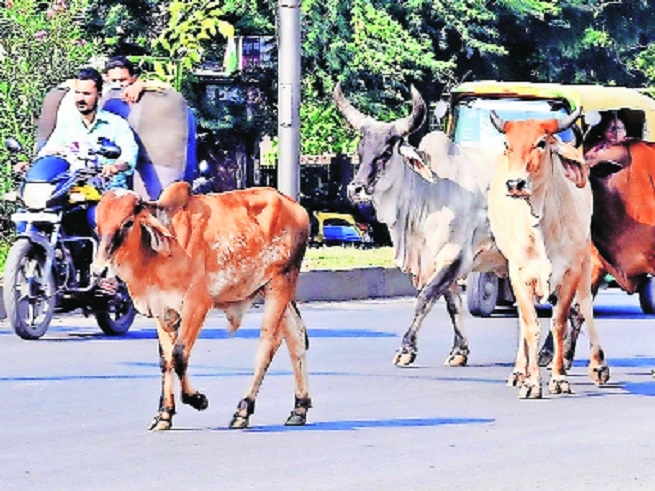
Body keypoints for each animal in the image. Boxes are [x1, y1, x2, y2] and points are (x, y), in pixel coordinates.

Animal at [92, 182, 312, 430]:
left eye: (128, 222)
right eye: (97, 225)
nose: (99, 270)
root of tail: (294, 206)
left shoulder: (196, 304)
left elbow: (179, 355)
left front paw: (197, 399)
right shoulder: (162, 311)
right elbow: (166, 359)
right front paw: (164, 414)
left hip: (280, 284)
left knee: (268, 344)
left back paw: (243, 410)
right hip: (270, 288)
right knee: (296, 336)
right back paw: (299, 408)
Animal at [334, 83, 508, 367]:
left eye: (386, 153)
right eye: (360, 153)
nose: (356, 189)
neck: (430, 192)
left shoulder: (455, 256)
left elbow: (425, 297)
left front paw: (406, 349)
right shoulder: (436, 260)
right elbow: (452, 302)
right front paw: (459, 352)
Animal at [487, 109, 610, 398]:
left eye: (541, 143)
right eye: (507, 144)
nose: (515, 183)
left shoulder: (571, 271)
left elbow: (560, 322)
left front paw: (559, 378)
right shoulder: (518, 273)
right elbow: (530, 324)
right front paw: (531, 381)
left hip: (586, 259)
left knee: (585, 305)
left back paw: (598, 365)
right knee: (524, 320)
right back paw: (518, 372)